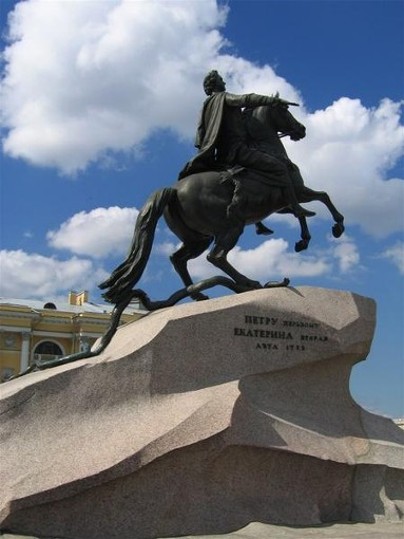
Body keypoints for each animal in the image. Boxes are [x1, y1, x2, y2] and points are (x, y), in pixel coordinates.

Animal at [100, 101, 344, 304]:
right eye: (285, 111)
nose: (301, 129)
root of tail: (173, 189)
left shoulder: (282, 206)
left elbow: (313, 203)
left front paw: (310, 234)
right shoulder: (296, 192)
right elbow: (318, 201)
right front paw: (326, 231)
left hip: (198, 238)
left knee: (179, 259)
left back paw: (198, 295)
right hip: (231, 227)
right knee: (216, 257)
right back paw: (247, 283)